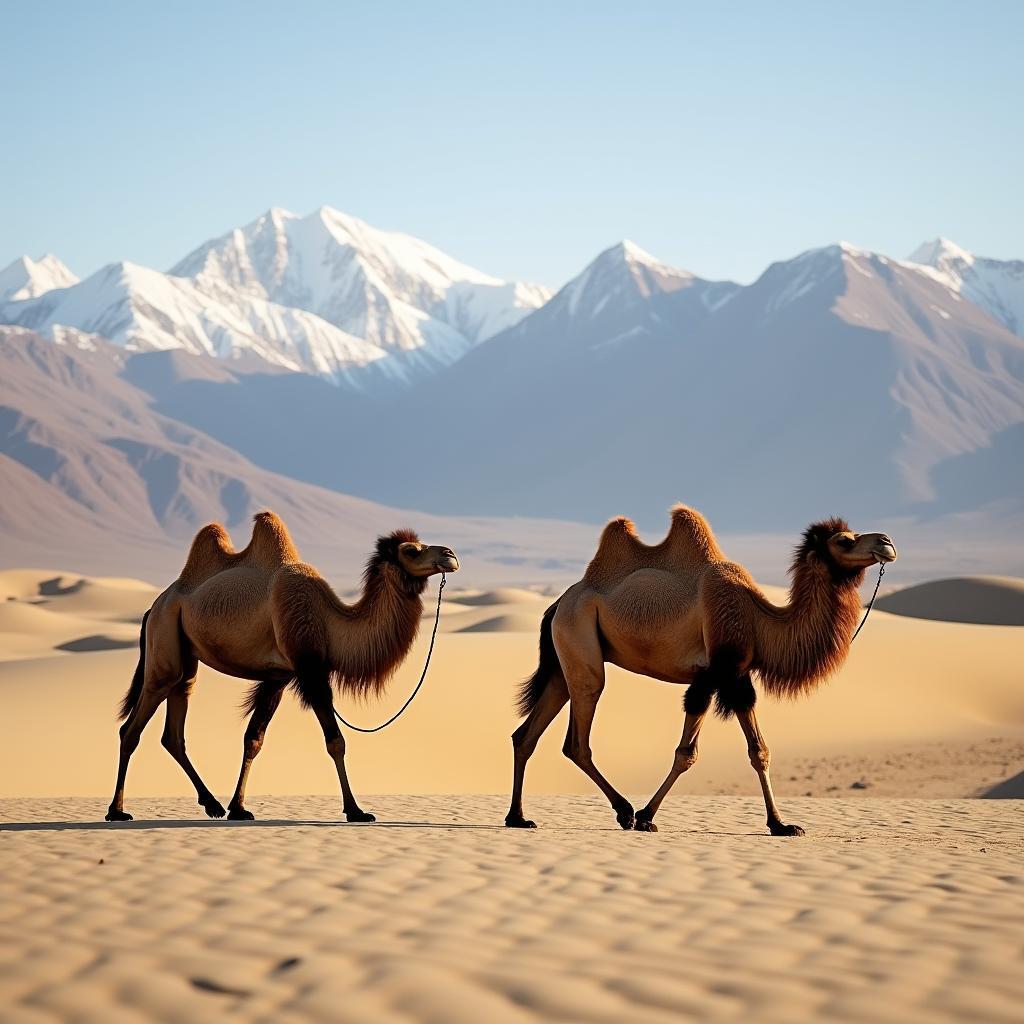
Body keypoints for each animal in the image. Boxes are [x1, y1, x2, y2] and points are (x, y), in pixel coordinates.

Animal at [105, 512, 458, 823]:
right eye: (411, 550)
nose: (451, 555)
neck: (329, 620)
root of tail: (154, 606)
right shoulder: (309, 668)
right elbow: (336, 741)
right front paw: (355, 810)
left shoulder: (279, 676)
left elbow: (253, 739)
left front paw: (238, 808)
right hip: (164, 640)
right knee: (131, 728)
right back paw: (116, 811)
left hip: (184, 656)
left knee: (174, 730)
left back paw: (212, 804)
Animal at [505, 507, 897, 835]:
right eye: (844, 540)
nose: (887, 542)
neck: (758, 619)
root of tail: (558, 602)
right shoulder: (710, 674)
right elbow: (686, 753)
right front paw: (647, 816)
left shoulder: (737, 675)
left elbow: (759, 750)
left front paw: (781, 825)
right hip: (579, 638)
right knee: (578, 737)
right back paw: (625, 811)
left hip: (562, 661)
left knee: (527, 733)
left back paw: (518, 817)